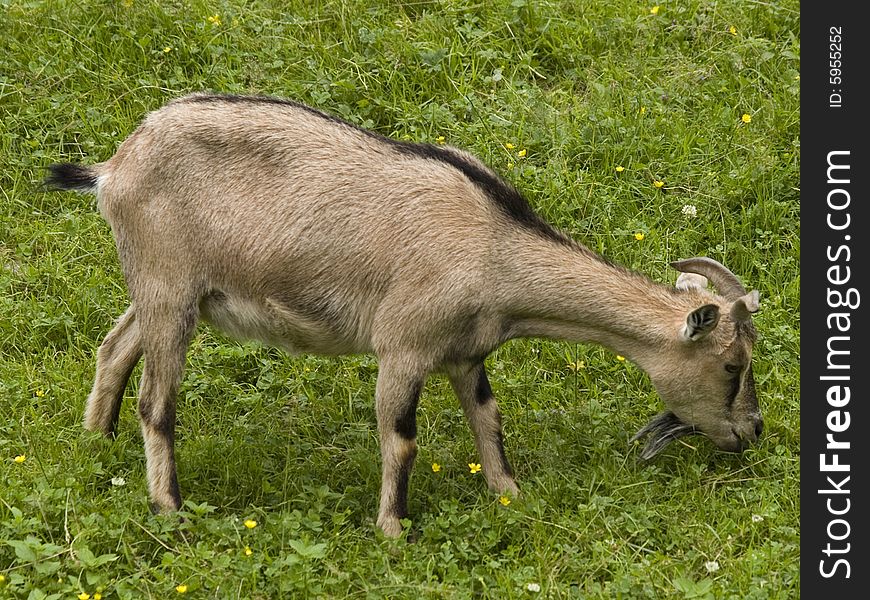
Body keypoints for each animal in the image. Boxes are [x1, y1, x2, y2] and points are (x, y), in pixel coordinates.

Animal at [46, 94, 764, 540]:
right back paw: (169, 508)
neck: (494, 245)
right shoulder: (403, 346)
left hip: (171, 289)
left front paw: (511, 494)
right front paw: (393, 529)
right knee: (156, 402)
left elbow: (488, 419)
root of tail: (113, 168)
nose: (751, 432)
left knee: (115, 345)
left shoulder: (466, 353)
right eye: (732, 364)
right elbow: (401, 438)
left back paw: (95, 442)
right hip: (170, 288)